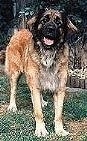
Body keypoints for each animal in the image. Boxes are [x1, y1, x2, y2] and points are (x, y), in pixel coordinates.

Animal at [5, 8, 77, 137]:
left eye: (59, 23)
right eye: (44, 20)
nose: (50, 29)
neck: (48, 54)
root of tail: (20, 31)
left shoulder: (60, 88)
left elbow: (59, 114)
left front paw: (59, 130)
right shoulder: (34, 84)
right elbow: (38, 112)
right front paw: (41, 130)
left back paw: (42, 101)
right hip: (15, 72)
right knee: (13, 90)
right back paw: (12, 106)